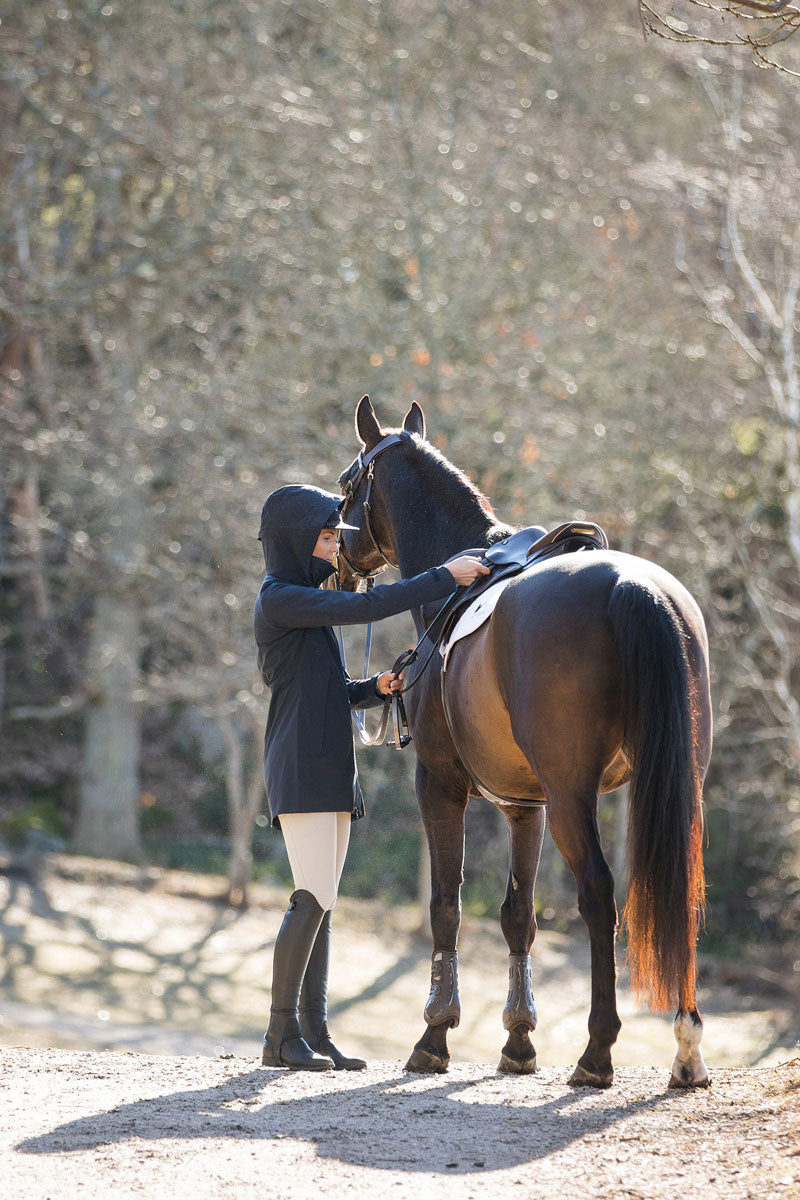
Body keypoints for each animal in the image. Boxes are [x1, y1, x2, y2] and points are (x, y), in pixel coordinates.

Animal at [338, 396, 714, 1089]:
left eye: (350, 484)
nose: (339, 562)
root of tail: (633, 586)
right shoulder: (523, 804)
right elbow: (518, 914)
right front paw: (518, 1041)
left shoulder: (441, 783)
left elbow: (447, 905)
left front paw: (435, 1034)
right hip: (675, 787)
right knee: (683, 895)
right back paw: (686, 1047)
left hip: (571, 797)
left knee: (598, 895)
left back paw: (597, 1052)